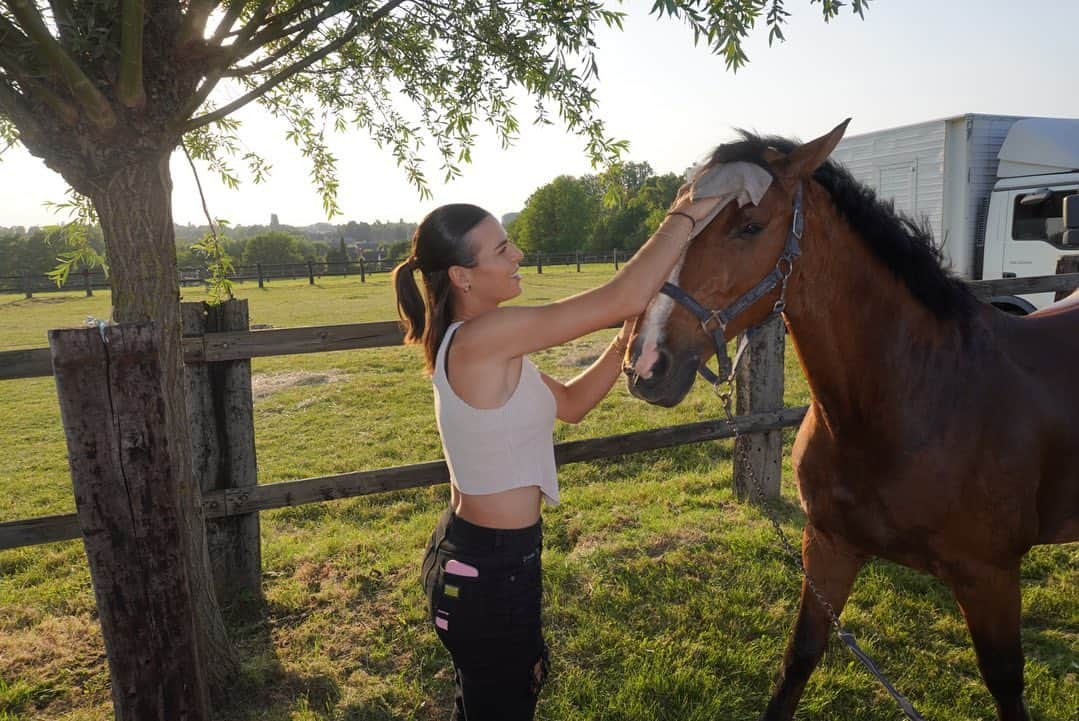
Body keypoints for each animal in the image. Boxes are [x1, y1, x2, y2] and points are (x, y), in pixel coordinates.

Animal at [625, 122, 1079, 721]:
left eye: (750, 226)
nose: (645, 363)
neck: (918, 397)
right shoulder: (829, 548)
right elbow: (798, 659)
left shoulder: (991, 578)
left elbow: (1006, 683)